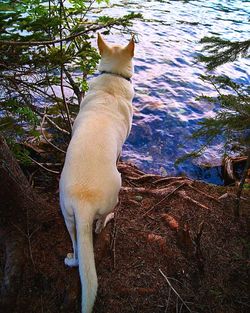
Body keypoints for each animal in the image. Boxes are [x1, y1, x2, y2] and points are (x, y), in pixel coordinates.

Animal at [59, 33, 135, 310]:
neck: (112, 78)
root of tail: (84, 202)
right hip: (113, 193)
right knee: (100, 222)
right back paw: (107, 220)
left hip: (68, 217)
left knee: (78, 250)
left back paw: (72, 257)